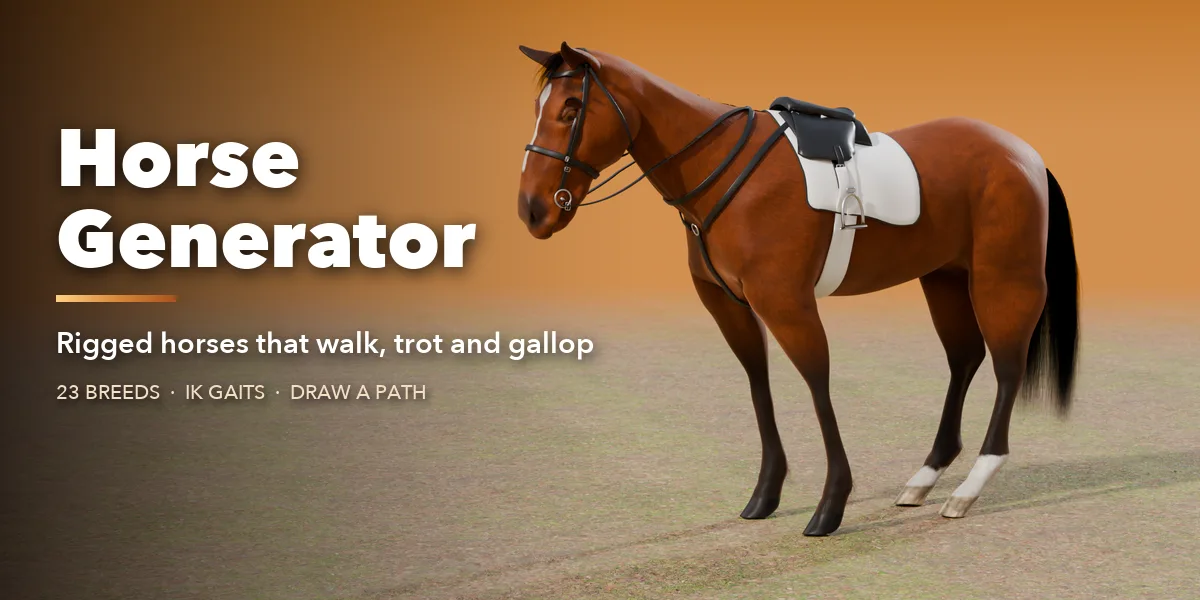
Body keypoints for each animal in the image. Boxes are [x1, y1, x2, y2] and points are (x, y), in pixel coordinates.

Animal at [515, 42, 1079, 536]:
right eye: (540, 108)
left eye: (570, 108)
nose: (533, 210)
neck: (724, 169)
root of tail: (1024, 154)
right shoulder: (730, 305)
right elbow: (757, 381)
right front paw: (766, 494)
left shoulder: (786, 302)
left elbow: (816, 383)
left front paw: (831, 505)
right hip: (944, 277)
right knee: (964, 359)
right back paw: (925, 477)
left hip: (1004, 278)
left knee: (1007, 368)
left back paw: (971, 486)